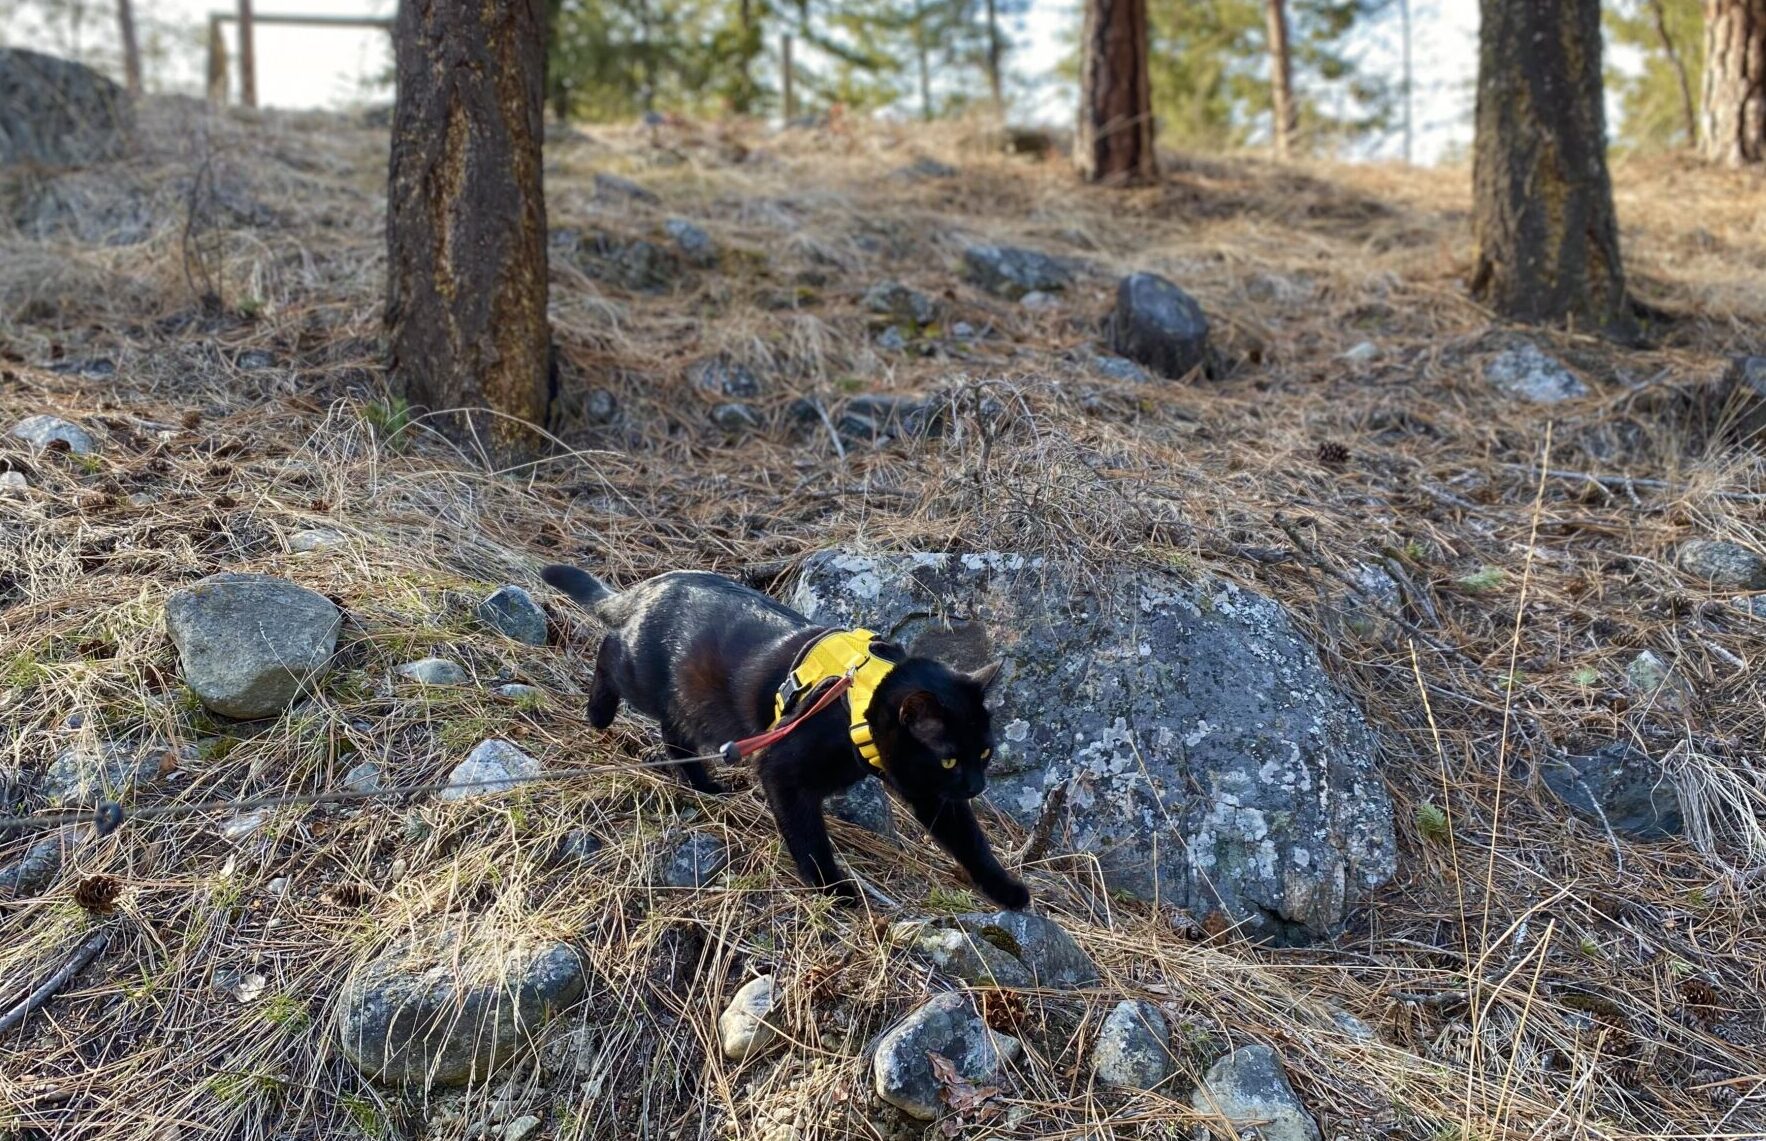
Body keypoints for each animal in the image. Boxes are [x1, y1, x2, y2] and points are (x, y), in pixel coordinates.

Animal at [543, 565, 1031, 911]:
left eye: (985, 752)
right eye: (949, 758)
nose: (977, 786)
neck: (858, 703)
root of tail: (649, 587)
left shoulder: (931, 793)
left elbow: (971, 843)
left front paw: (1006, 890)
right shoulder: (784, 774)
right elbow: (810, 840)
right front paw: (835, 890)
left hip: (689, 700)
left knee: (675, 731)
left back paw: (706, 787)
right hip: (642, 676)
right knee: (609, 652)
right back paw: (599, 713)